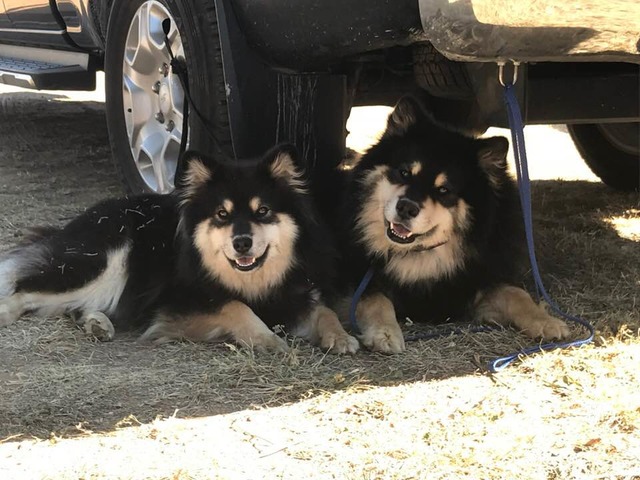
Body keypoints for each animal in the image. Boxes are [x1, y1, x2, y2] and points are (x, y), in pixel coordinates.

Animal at [0, 144, 360, 354]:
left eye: (263, 211)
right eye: (222, 214)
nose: (241, 242)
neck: (251, 282)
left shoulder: (295, 296)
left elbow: (324, 311)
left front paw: (340, 337)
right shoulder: (176, 305)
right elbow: (235, 307)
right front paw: (268, 340)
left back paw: (97, 324)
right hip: (104, 263)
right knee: (25, 289)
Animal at [336, 96, 568, 352]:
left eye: (444, 190)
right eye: (404, 173)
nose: (406, 207)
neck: (422, 255)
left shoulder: (478, 282)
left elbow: (517, 294)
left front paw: (546, 321)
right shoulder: (354, 282)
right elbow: (376, 299)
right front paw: (384, 332)